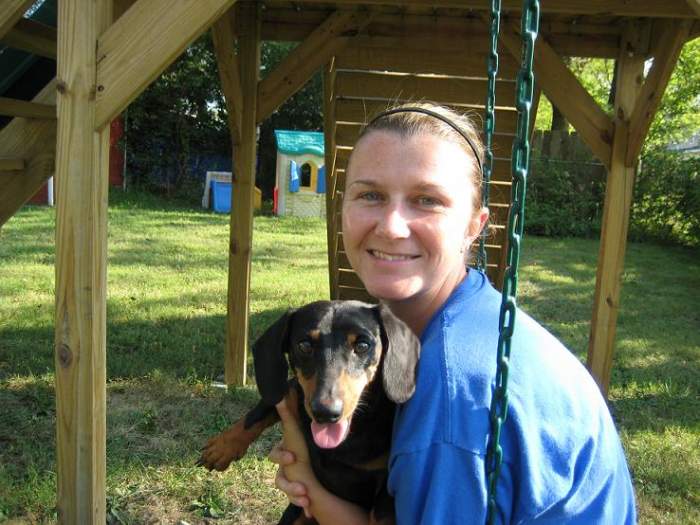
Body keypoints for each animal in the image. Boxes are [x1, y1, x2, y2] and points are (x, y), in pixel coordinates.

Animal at [197, 298, 418, 524]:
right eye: (304, 345)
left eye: (363, 345)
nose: (325, 413)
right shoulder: (293, 392)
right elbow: (263, 408)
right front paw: (222, 447)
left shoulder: (387, 486)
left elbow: (381, 513)